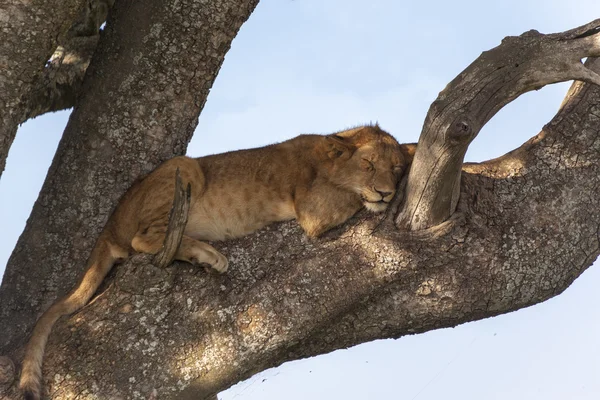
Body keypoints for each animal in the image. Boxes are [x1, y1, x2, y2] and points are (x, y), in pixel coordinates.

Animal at [17, 124, 412, 396]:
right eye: (368, 164)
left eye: (396, 168)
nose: (386, 191)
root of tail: (108, 227)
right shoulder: (312, 211)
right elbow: (351, 199)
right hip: (183, 169)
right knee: (142, 239)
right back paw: (206, 254)